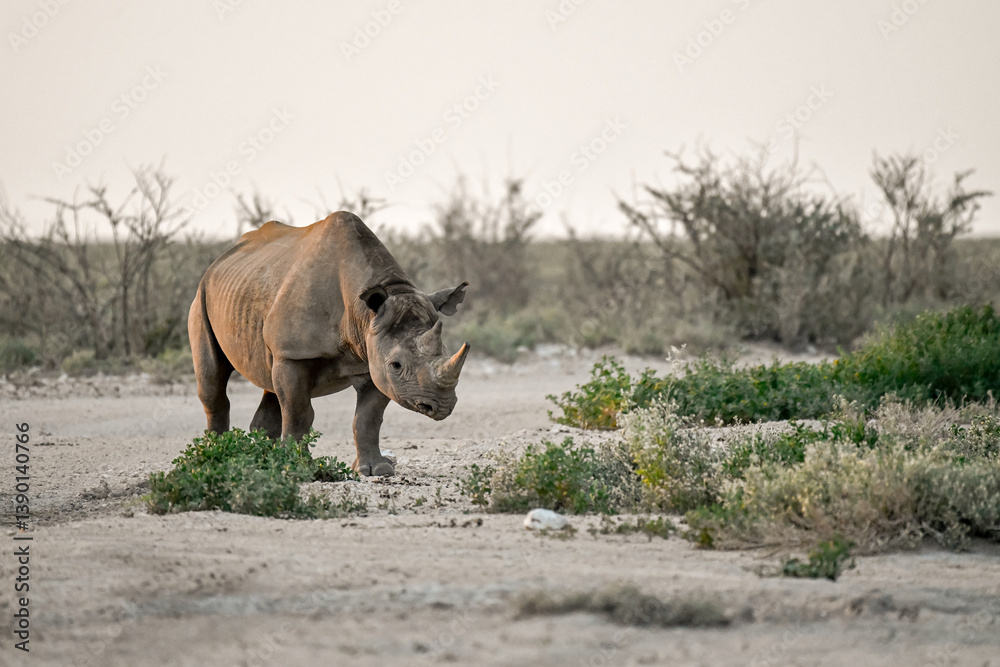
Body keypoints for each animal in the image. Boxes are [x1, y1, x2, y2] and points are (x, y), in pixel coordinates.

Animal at [187, 211, 470, 477]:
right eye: (397, 365)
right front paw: (298, 468)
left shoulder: (374, 359)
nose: (441, 406)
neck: (363, 314)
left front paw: (376, 470)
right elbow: (299, 413)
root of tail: (220, 260)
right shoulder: (296, 354)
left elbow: (368, 418)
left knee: (270, 383)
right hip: (201, 297)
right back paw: (216, 458)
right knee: (213, 379)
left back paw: (263, 461)